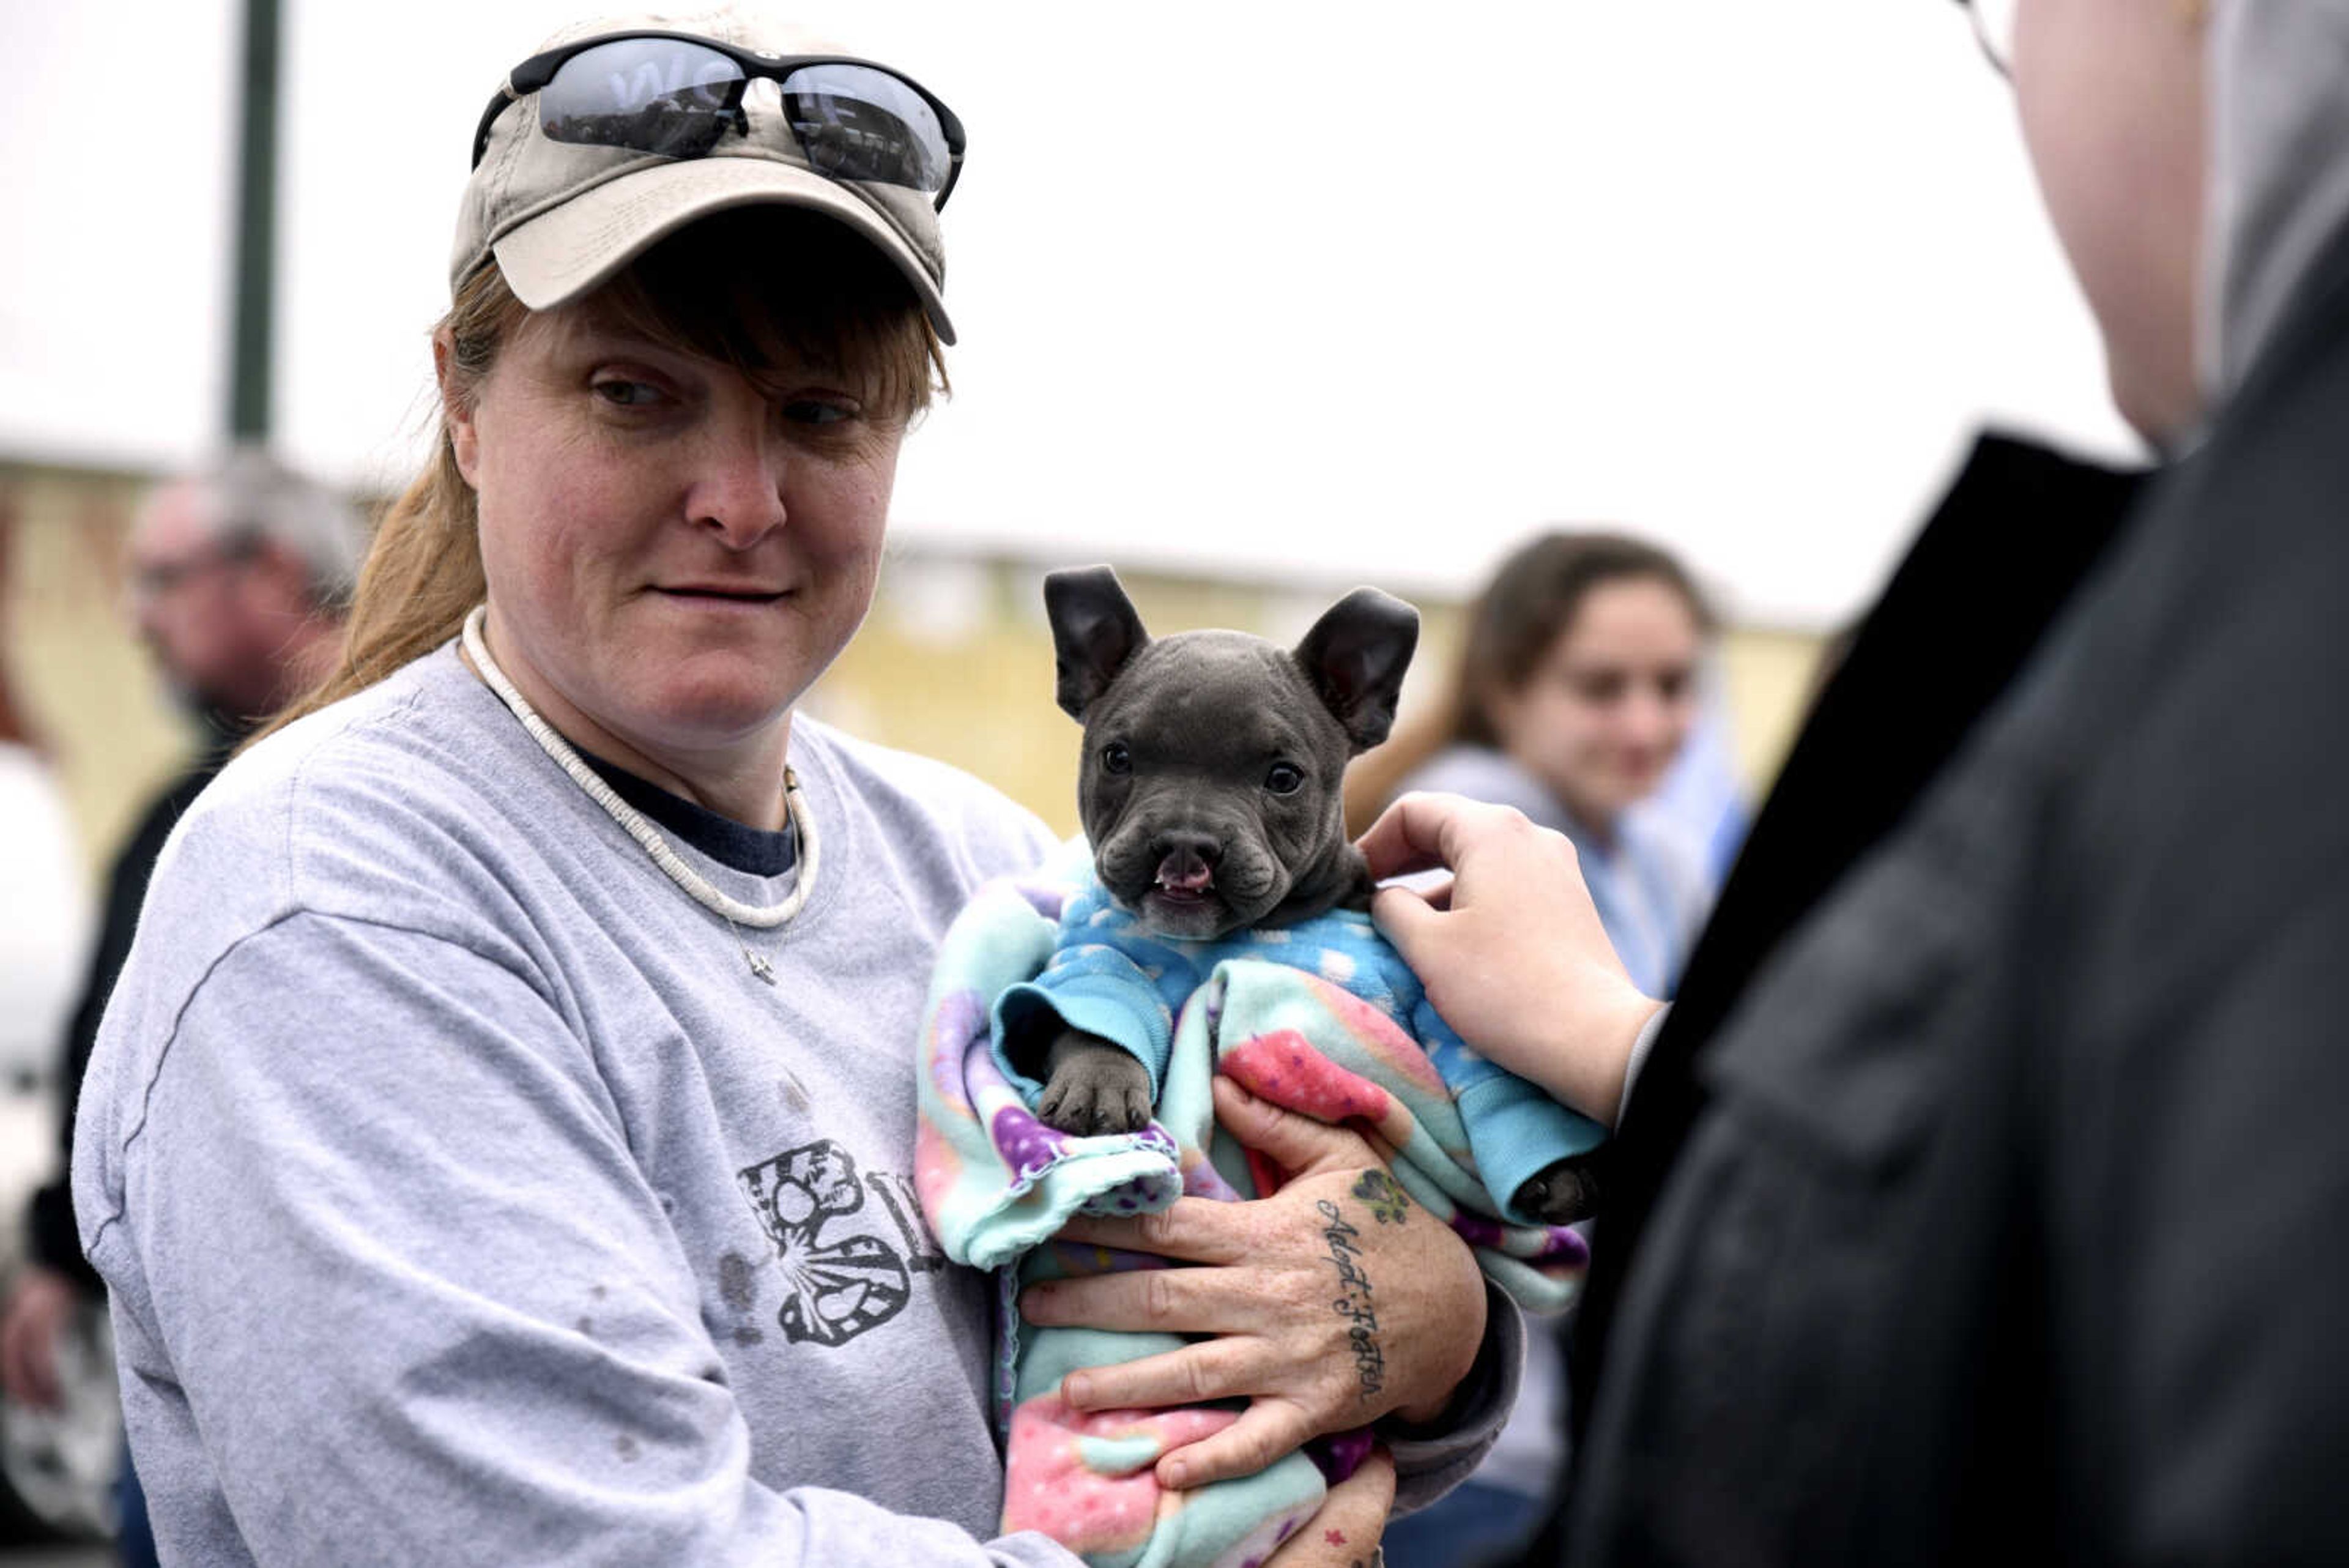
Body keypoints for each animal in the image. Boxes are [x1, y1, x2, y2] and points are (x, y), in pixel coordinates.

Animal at [1010, 571, 1597, 1232]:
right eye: (1118, 758)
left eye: (1284, 778)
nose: (1186, 841)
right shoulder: (1092, 954)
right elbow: (1097, 1006)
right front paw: (1098, 1082)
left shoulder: (1436, 1006)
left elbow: (1482, 1069)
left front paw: (1557, 1166)